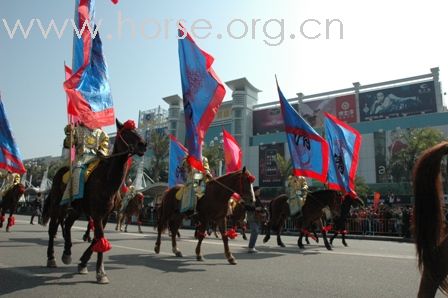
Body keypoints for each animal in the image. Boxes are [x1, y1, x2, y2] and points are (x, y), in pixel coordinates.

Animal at [43, 119, 146, 284]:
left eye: (136, 130)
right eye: (126, 133)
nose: (143, 144)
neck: (107, 180)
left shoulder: (105, 215)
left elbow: (98, 239)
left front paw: (84, 263)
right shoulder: (97, 213)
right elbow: (100, 238)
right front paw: (100, 273)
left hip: (76, 210)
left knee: (67, 225)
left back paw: (67, 252)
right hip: (57, 205)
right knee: (53, 229)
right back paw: (51, 258)